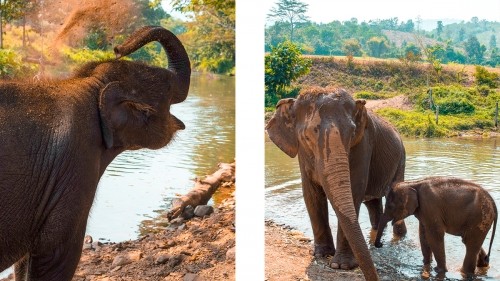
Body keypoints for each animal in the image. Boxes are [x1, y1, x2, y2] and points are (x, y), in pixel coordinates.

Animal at [0, 25, 190, 278]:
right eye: (168, 90)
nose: (118, 48)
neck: (90, 84)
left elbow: (24, 263)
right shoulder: (75, 167)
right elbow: (57, 253)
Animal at [266, 86, 406, 280]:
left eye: (352, 133)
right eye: (306, 137)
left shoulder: (363, 145)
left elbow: (354, 192)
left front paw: (342, 266)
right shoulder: (303, 153)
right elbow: (311, 194)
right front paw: (321, 255)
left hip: (401, 159)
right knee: (373, 203)